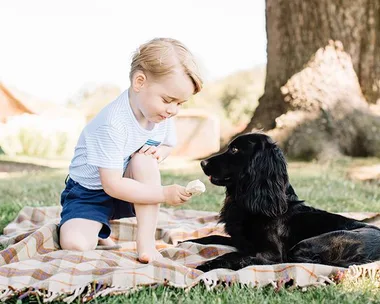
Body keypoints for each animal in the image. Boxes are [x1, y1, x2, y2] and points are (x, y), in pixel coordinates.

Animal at [186, 133, 380, 270]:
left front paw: (205, 265)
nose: (202, 163)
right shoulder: (241, 240)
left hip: (305, 245)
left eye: (234, 150)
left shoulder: (273, 253)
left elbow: (234, 256)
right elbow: (213, 236)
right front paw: (185, 241)